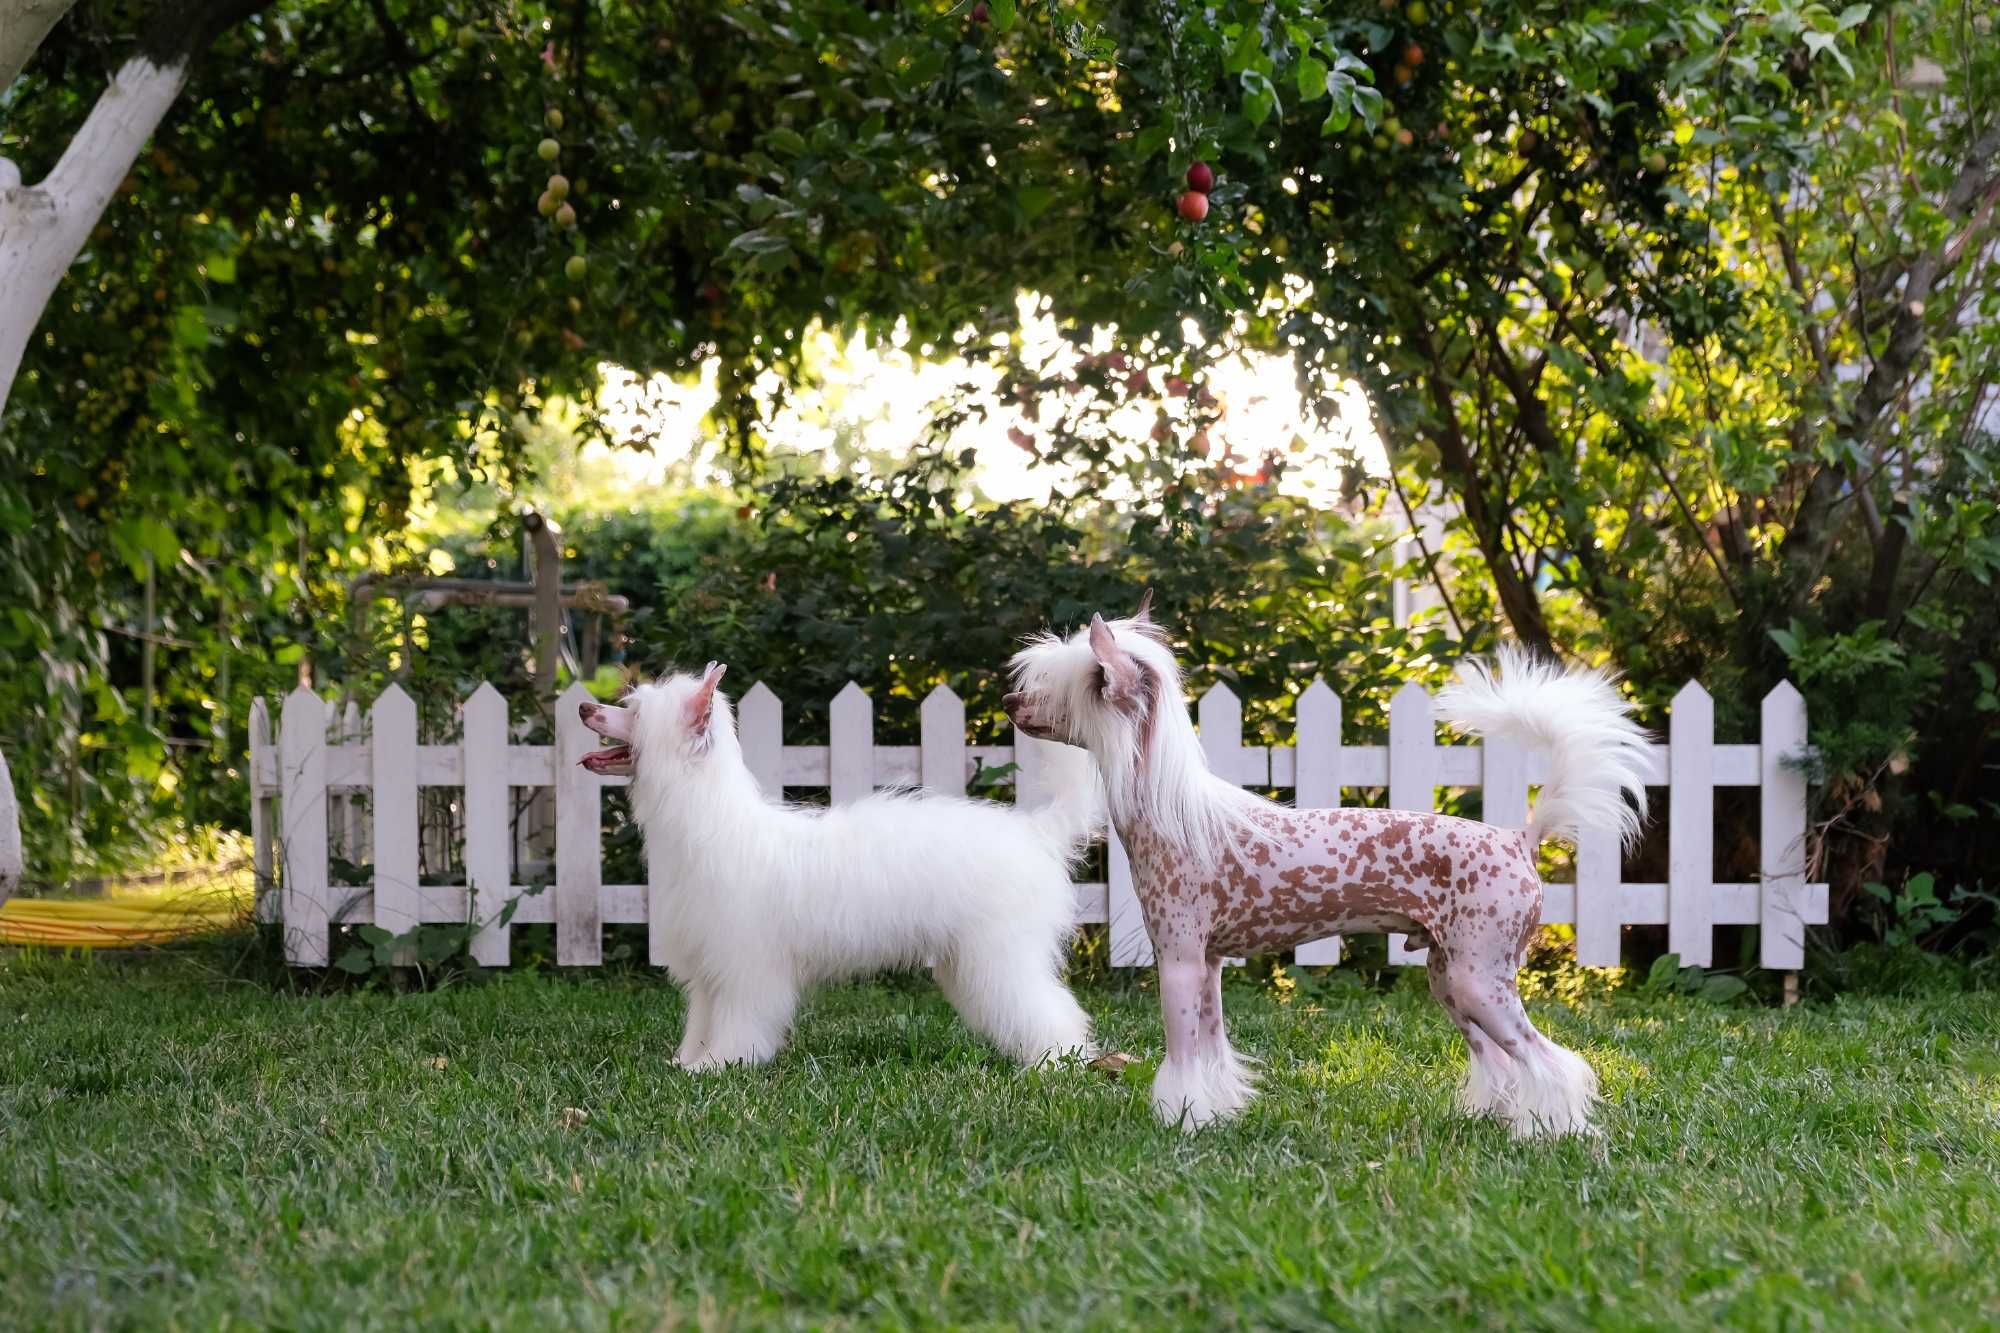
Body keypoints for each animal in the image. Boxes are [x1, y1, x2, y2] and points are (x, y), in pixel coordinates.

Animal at [580, 664, 1104, 1072]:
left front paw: (721, 1064)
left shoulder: (747, 970)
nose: (586, 708)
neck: (711, 824)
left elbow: (740, 1024)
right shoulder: (709, 974)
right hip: (970, 963)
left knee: (1054, 1011)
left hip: (1002, 957)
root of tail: (1036, 831)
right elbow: (701, 1023)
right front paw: (689, 1062)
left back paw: (1060, 1063)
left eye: (634, 712)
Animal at [1008, 600, 1648, 1128]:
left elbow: (1184, 1059)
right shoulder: (1210, 967)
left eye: (1068, 681)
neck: (1177, 809)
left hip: (1480, 981)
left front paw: (1179, 1123)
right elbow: (1213, 1053)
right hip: (1451, 979)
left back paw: (1554, 1132)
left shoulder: (1180, 962)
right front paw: (1214, 1117)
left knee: (1550, 1063)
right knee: (1500, 1062)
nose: (1008, 702)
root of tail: (1519, 837)